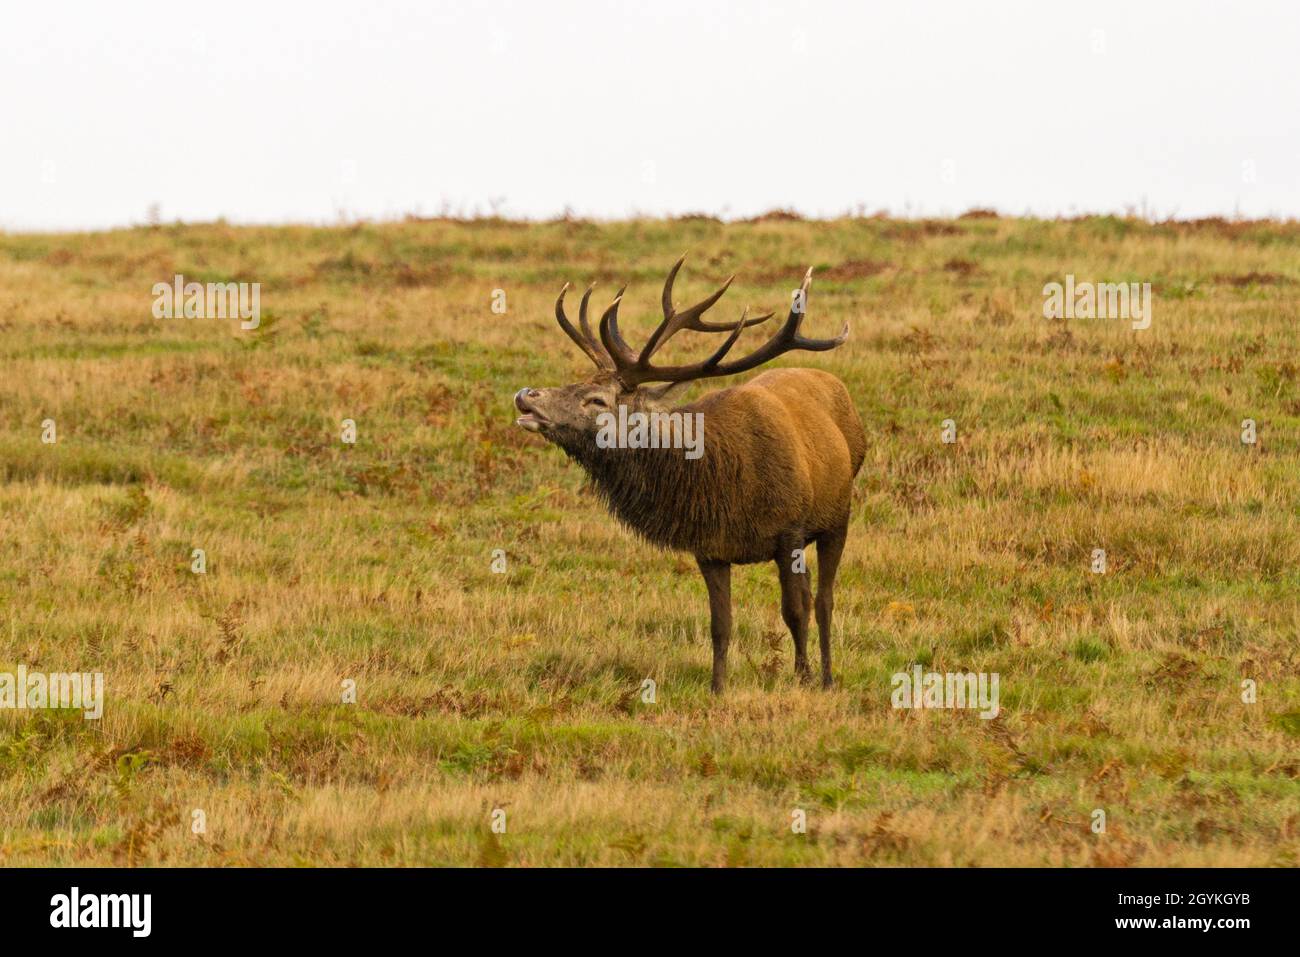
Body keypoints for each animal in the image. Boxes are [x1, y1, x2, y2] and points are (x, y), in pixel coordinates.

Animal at [514, 257, 865, 692]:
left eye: (597, 400)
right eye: (575, 380)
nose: (526, 395)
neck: (723, 484)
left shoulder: (790, 531)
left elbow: (795, 609)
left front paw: (804, 678)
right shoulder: (710, 547)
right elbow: (720, 624)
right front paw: (717, 689)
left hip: (838, 515)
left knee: (824, 598)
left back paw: (829, 676)